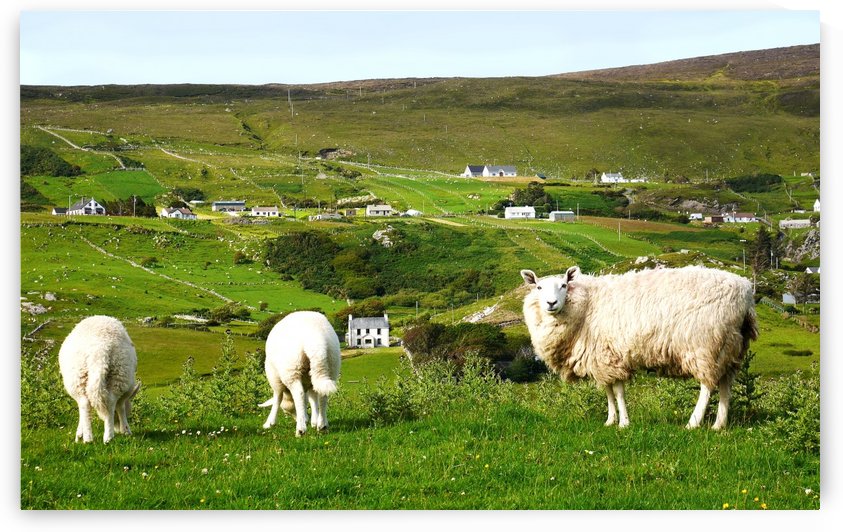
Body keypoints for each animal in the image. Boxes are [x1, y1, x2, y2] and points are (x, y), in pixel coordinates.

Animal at [520, 265, 758, 430]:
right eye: (539, 287)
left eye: (563, 285)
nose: (551, 303)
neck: (586, 304)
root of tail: (745, 292)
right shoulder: (600, 359)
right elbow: (608, 391)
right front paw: (610, 420)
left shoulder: (610, 356)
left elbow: (618, 392)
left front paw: (624, 423)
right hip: (729, 346)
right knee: (726, 384)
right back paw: (719, 424)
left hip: (706, 344)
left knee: (707, 386)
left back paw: (694, 422)